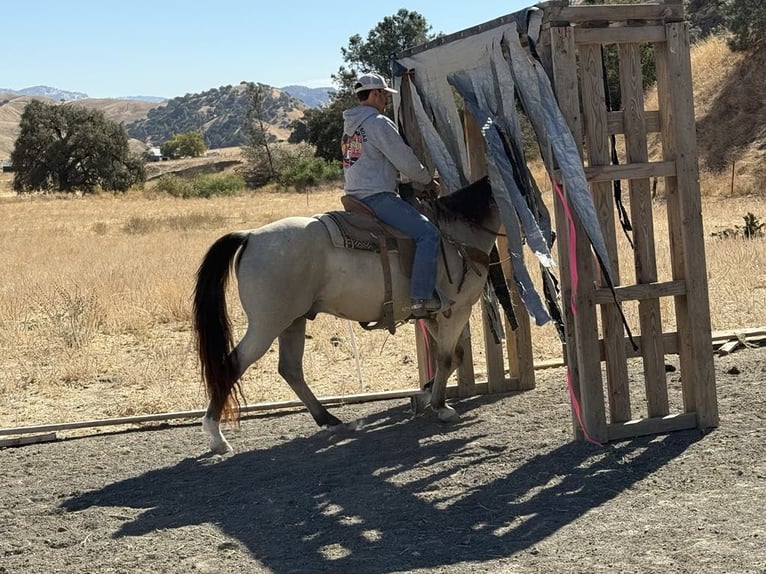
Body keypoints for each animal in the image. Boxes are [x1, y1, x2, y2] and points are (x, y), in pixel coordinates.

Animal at [195, 176, 500, 454]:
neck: (459, 235)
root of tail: (250, 236)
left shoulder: (437, 316)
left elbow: (454, 357)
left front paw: (423, 395)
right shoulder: (456, 310)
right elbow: (446, 359)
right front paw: (441, 407)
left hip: (292, 322)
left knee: (290, 369)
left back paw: (328, 419)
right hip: (266, 326)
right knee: (233, 365)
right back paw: (216, 436)